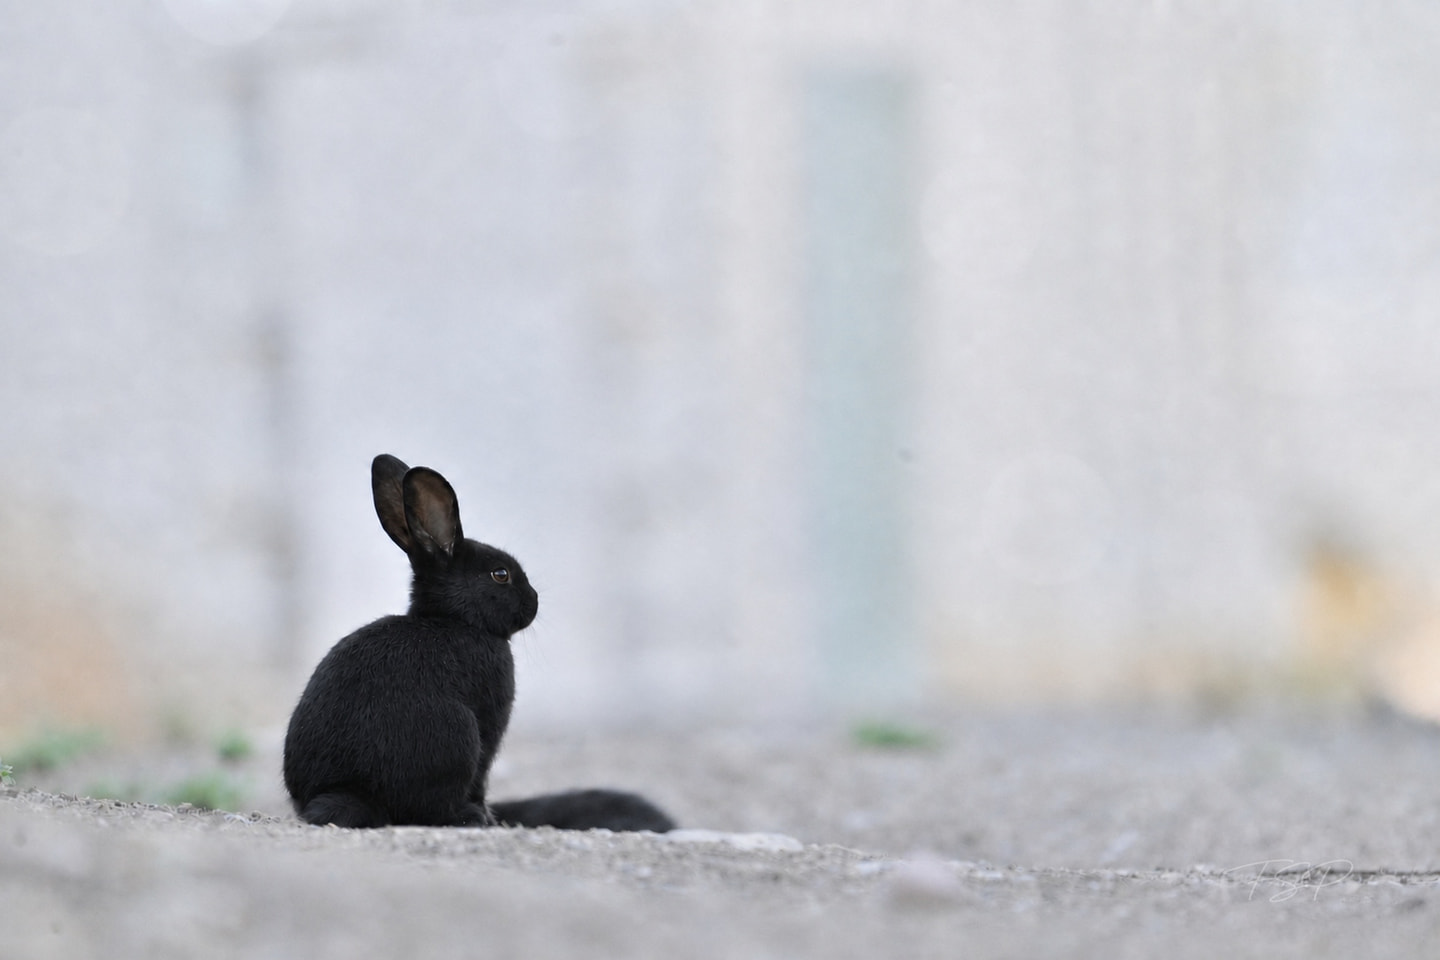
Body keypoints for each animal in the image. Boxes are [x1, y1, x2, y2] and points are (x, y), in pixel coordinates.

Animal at [282, 454, 675, 833]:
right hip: (459, 736)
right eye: (500, 574)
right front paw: (486, 815)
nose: (534, 601)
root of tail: (346, 794)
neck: (457, 620)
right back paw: (472, 817)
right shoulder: (490, 722)